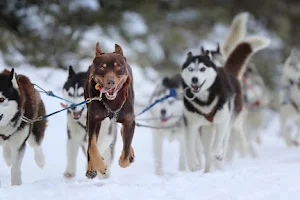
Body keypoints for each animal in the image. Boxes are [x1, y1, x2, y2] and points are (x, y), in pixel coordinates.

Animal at [84, 43, 136, 179]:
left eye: (118, 67)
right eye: (102, 68)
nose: (111, 81)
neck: (112, 103)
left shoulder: (129, 120)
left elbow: (125, 152)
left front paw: (125, 158)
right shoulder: (94, 120)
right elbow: (92, 146)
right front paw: (100, 167)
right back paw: (91, 169)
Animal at [182, 36, 270, 172]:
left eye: (202, 69)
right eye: (190, 69)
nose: (194, 79)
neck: (205, 101)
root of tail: (226, 70)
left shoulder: (223, 119)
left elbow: (218, 142)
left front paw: (218, 153)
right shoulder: (191, 124)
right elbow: (189, 146)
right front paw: (192, 163)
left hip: (231, 118)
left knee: (224, 138)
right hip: (207, 129)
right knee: (207, 147)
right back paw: (207, 170)